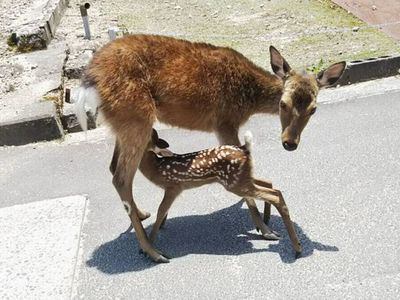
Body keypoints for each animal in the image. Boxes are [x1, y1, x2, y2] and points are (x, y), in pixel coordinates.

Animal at [131, 129, 300, 262]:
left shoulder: (174, 187)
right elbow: (164, 211)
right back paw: (268, 225)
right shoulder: (171, 189)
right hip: (242, 179)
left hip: (235, 183)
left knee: (274, 195)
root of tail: (245, 148)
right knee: (273, 187)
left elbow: (160, 210)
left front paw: (148, 247)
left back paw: (296, 248)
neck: (156, 169)